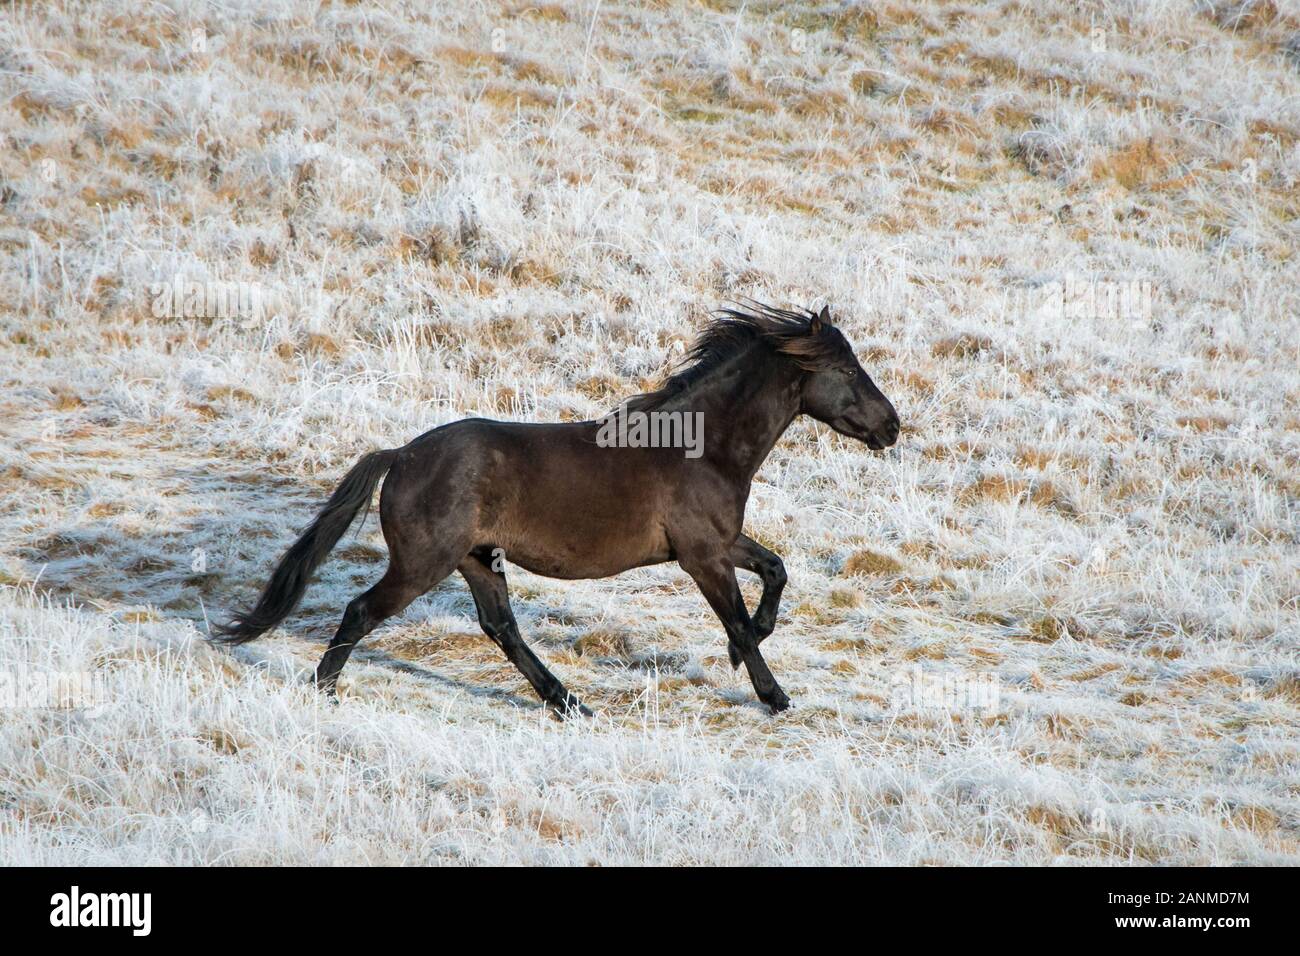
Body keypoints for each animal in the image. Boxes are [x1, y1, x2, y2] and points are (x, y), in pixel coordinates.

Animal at [218, 303, 899, 712]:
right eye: (848, 370)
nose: (892, 427)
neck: (698, 446)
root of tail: (403, 456)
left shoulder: (719, 542)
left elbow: (776, 571)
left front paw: (750, 652)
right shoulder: (702, 556)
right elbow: (734, 617)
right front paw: (773, 694)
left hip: (477, 559)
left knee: (502, 628)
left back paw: (568, 702)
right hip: (424, 563)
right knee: (362, 611)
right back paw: (325, 691)